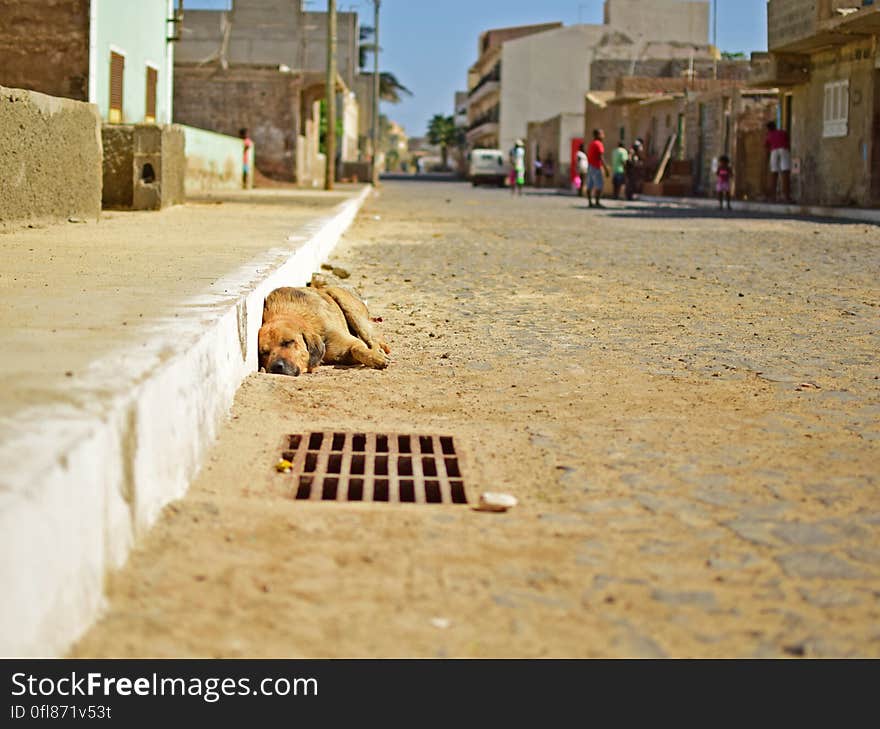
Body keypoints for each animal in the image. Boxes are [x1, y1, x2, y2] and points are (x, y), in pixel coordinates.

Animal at [256, 282, 390, 378]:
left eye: (288, 342)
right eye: (264, 353)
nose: (275, 367)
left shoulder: (351, 342)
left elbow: (357, 348)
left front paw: (375, 358)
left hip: (350, 310)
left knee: (375, 340)